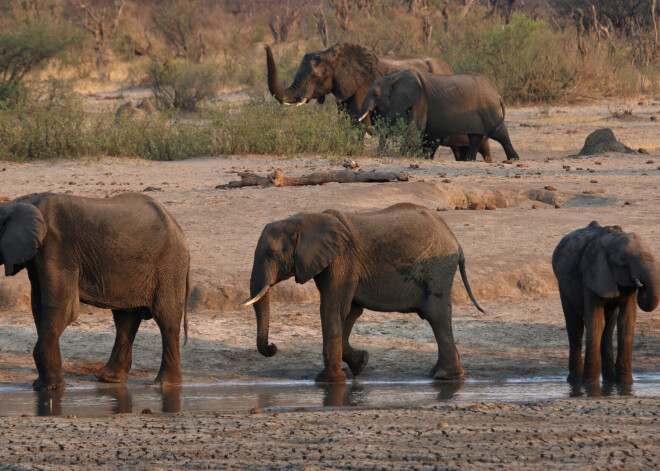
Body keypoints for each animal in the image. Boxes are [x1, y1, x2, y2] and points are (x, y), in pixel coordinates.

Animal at [0, 192, 191, 390]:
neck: (22, 202)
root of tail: (178, 228)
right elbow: (39, 308)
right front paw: (46, 386)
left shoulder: (56, 247)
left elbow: (64, 309)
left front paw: (48, 388)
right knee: (126, 320)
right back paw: (108, 378)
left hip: (169, 266)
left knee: (166, 320)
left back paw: (165, 384)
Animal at [240, 203, 482, 384]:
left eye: (272, 255)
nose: (273, 347)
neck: (304, 220)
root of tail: (456, 242)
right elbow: (350, 312)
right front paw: (361, 363)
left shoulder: (341, 261)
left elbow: (332, 309)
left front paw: (328, 381)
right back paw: (440, 374)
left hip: (437, 269)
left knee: (435, 314)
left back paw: (444, 377)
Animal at [262, 44, 490, 162]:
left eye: (316, 76)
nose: (265, 45)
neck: (333, 54)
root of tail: (449, 67)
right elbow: (345, 122)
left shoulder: (361, 86)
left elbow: (355, 122)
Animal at [358, 68, 520, 162]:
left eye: (376, 94)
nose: (379, 154)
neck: (392, 78)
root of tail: (498, 93)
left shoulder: (421, 100)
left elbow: (415, 128)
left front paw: (404, 155)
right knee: (475, 136)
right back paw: (469, 160)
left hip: (489, 109)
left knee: (499, 133)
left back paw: (514, 159)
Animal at [552, 223, 660, 386]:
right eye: (624, 259)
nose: (641, 284)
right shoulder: (592, 276)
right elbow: (596, 322)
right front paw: (590, 385)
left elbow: (626, 323)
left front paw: (625, 384)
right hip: (563, 286)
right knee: (576, 328)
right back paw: (575, 381)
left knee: (608, 328)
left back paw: (610, 380)